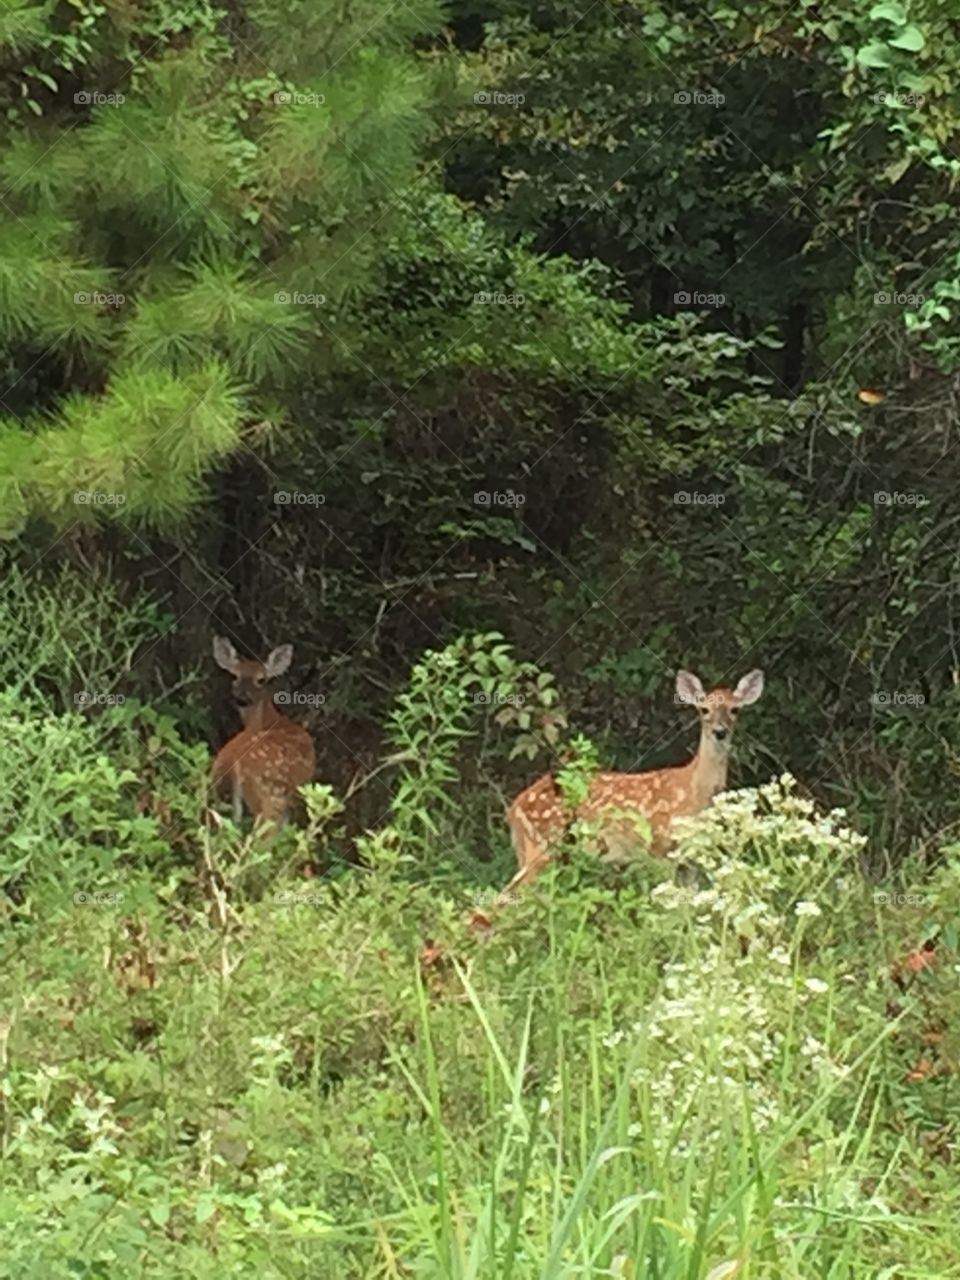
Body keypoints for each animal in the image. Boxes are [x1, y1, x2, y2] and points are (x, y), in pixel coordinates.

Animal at [504, 670, 768, 890]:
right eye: (704, 710)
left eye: (735, 709)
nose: (720, 732)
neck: (694, 791)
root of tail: (514, 808)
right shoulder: (660, 848)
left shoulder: (690, 857)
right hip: (544, 847)